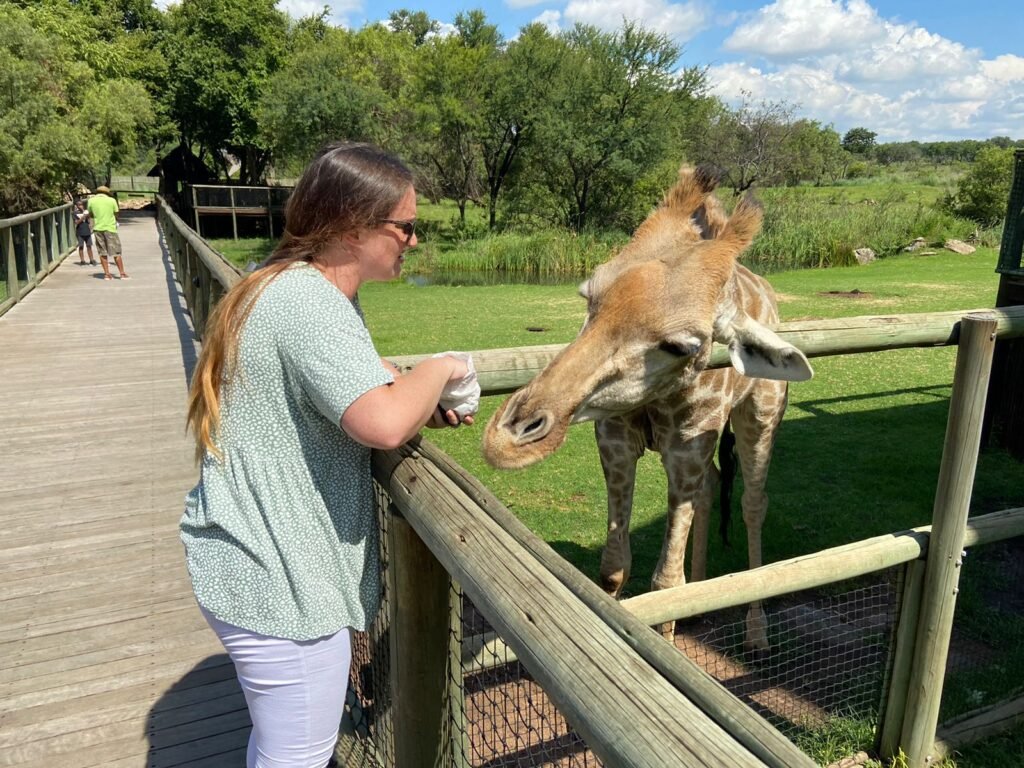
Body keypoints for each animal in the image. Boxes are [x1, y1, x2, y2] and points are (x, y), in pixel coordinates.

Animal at [482, 165, 813, 650]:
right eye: (588, 296)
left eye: (680, 345)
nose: (506, 441)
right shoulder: (616, 442)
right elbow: (613, 567)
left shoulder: (686, 451)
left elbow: (665, 583)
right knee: (713, 487)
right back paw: (702, 599)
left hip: (761, 413)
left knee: (753, 500)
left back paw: (757, 630)